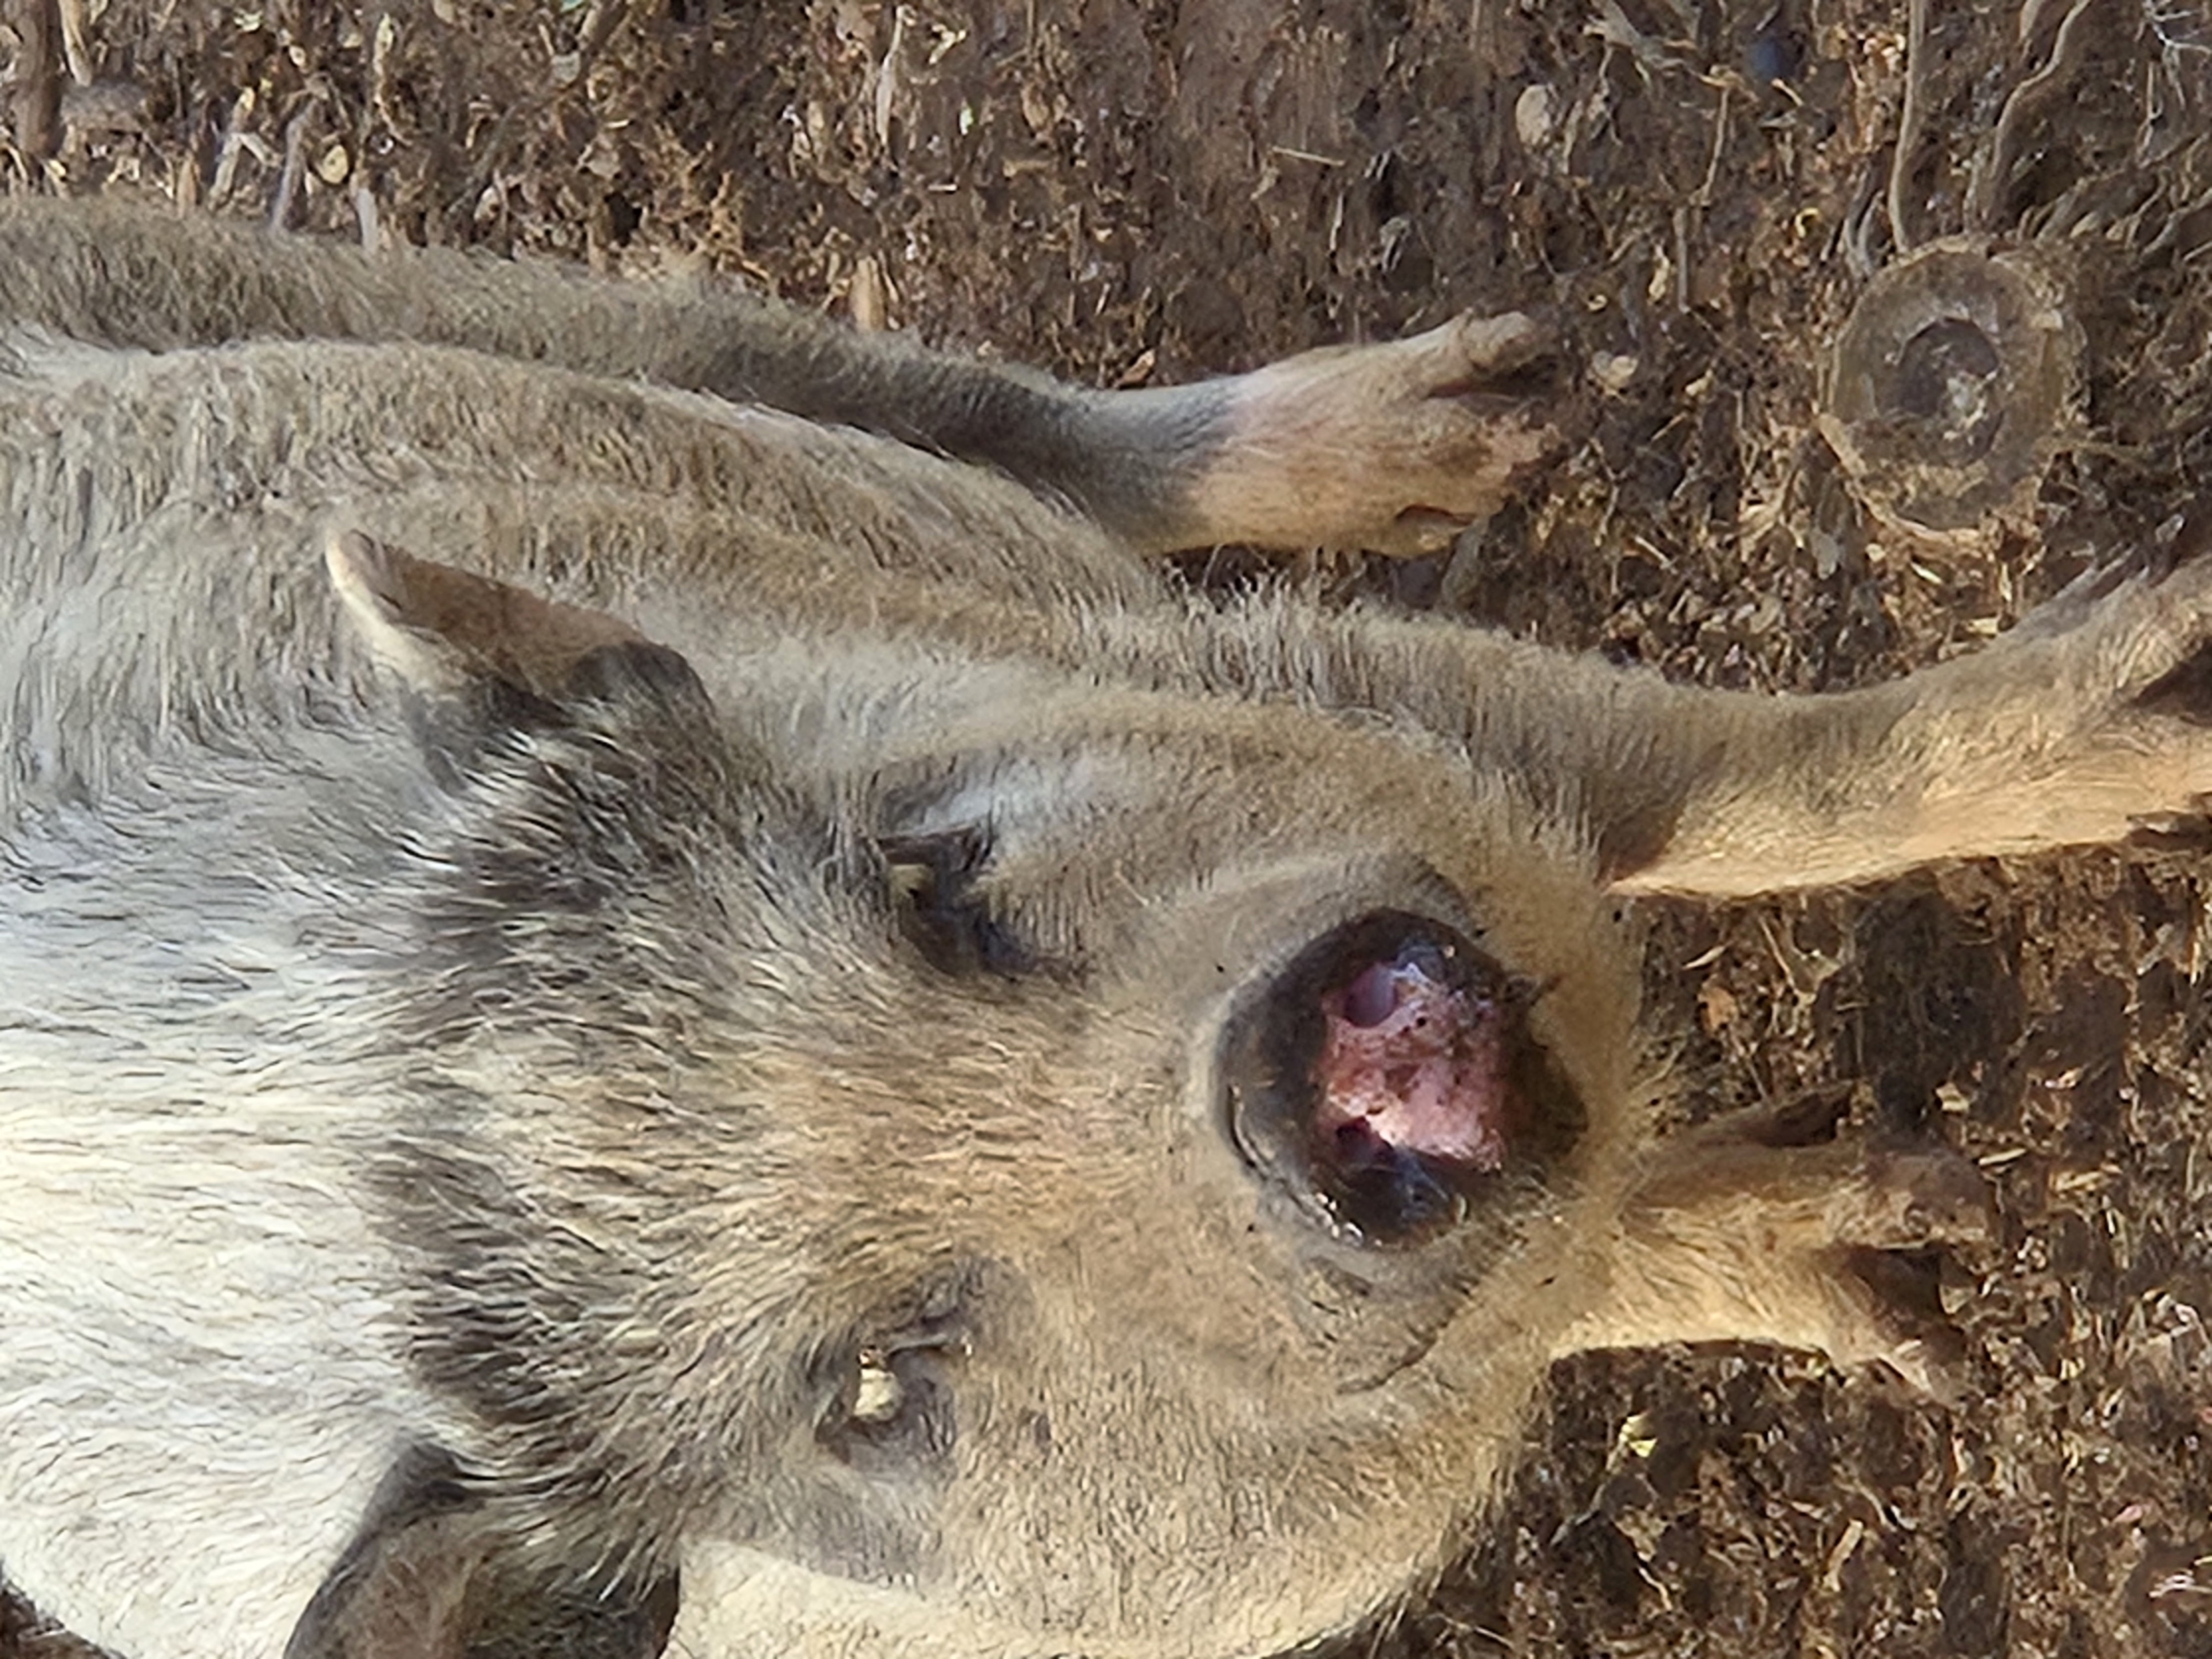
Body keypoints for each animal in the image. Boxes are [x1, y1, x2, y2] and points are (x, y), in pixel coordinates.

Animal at [0, 197, 2205, 1659]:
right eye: (873, 1386)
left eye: (936, 882)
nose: (1291, 1065)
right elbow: (1588, 1272)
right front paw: (1904, 1275)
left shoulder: (1241, 685)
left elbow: (1718, 773)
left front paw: (2155, 704)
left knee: (942, 404)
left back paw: (1475, 415)